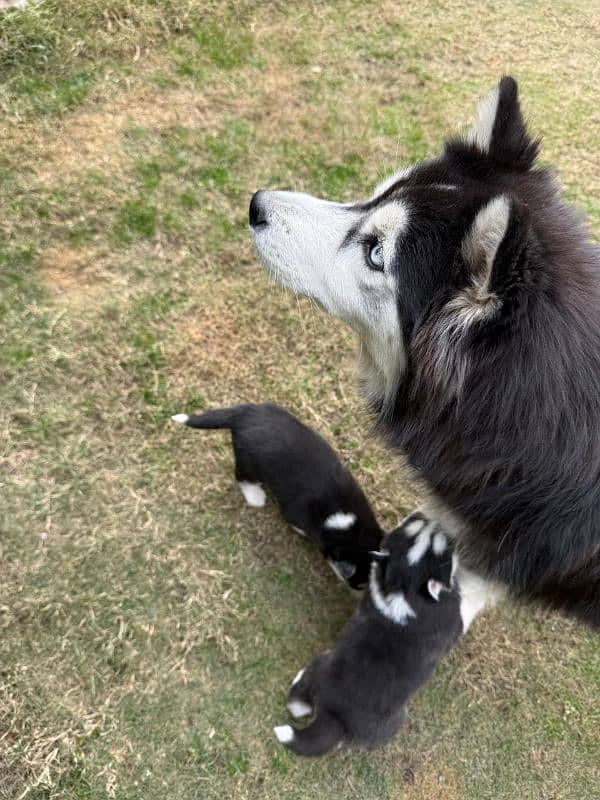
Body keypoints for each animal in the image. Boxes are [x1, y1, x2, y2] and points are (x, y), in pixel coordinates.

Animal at [171, 404, 382, 592]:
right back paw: (255, 497)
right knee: (242, 477)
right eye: (359, 584)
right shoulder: (296, 515)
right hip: (249, 462)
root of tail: (246, 413)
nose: (359, 592)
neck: (349, 524)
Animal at [274, 512, 462, 756]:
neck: (403, 590)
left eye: (411, 526)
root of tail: (330, 712)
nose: (422, 514)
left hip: (319, 666)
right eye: (445, 548)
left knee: (297, 702)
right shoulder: (453, 622)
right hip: (391, 724)